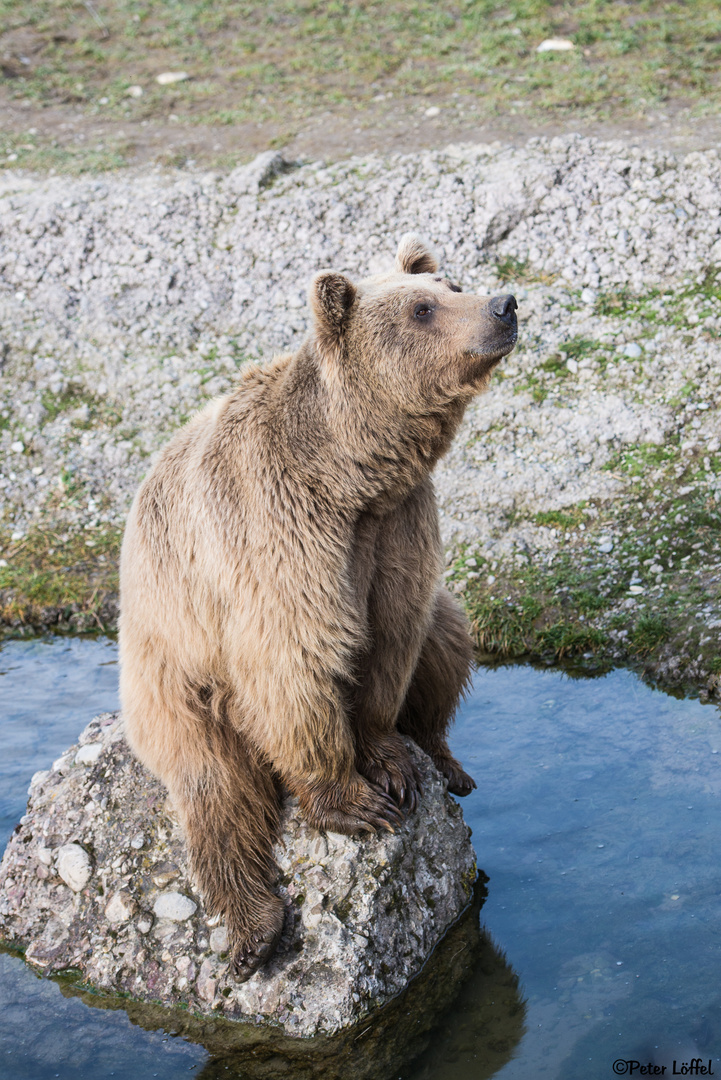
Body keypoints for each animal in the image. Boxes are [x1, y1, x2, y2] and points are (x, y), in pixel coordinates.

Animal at [118, 234, 515, 980]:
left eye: (452, 286)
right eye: (422, 309)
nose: (504, 305)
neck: (351, 473)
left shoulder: (397, 526)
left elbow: (395, 636)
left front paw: (392, 762)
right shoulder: (278, 528)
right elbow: (295, 658)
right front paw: (355, 802)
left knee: (448, 638)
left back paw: (445, 759)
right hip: (175, 678)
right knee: (215, 789)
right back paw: (254, 929)